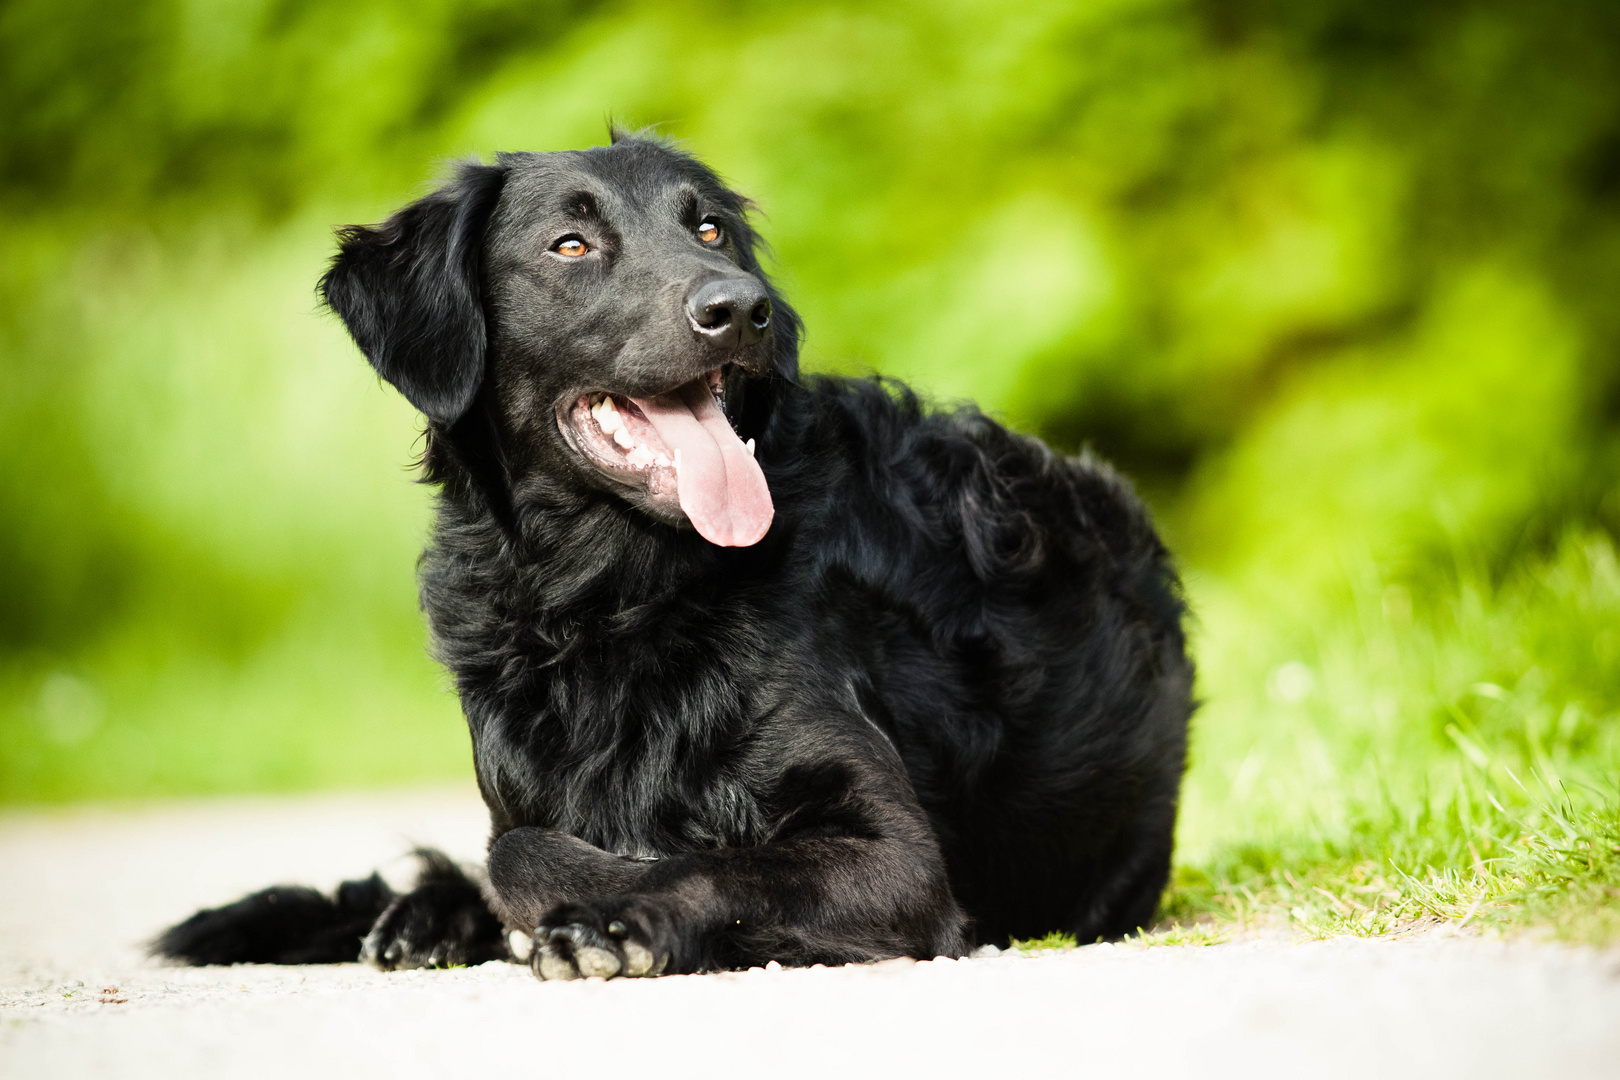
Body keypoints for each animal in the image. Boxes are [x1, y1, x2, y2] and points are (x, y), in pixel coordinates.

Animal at [154, 131, 1192, 977]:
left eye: (710, 231)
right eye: (571, 245)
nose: (743, 309)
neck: (612, 598)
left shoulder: (898, 854)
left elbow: (688, 861)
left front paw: (613, 917)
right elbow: (511, 849)